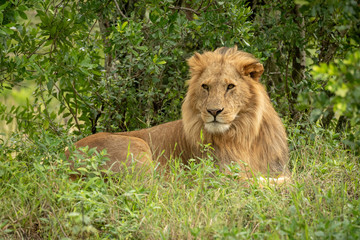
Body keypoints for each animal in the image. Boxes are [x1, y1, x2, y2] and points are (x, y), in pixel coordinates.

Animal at [69, 46, 290, 182]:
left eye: (230, 87)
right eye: (205, 87)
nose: (213, 111)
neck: (243, 135)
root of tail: (65, 158)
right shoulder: (220, 176)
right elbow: (264, 182)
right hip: (136, 148)